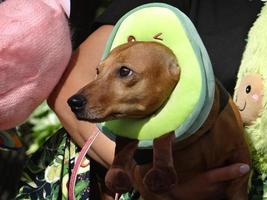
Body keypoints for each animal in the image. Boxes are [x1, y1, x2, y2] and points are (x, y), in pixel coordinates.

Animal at [68, 41, 251, 199]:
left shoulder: (240, 169)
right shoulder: (151, 191)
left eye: (125, 71)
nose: (73, 102)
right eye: (98, 71)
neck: (194, 138)